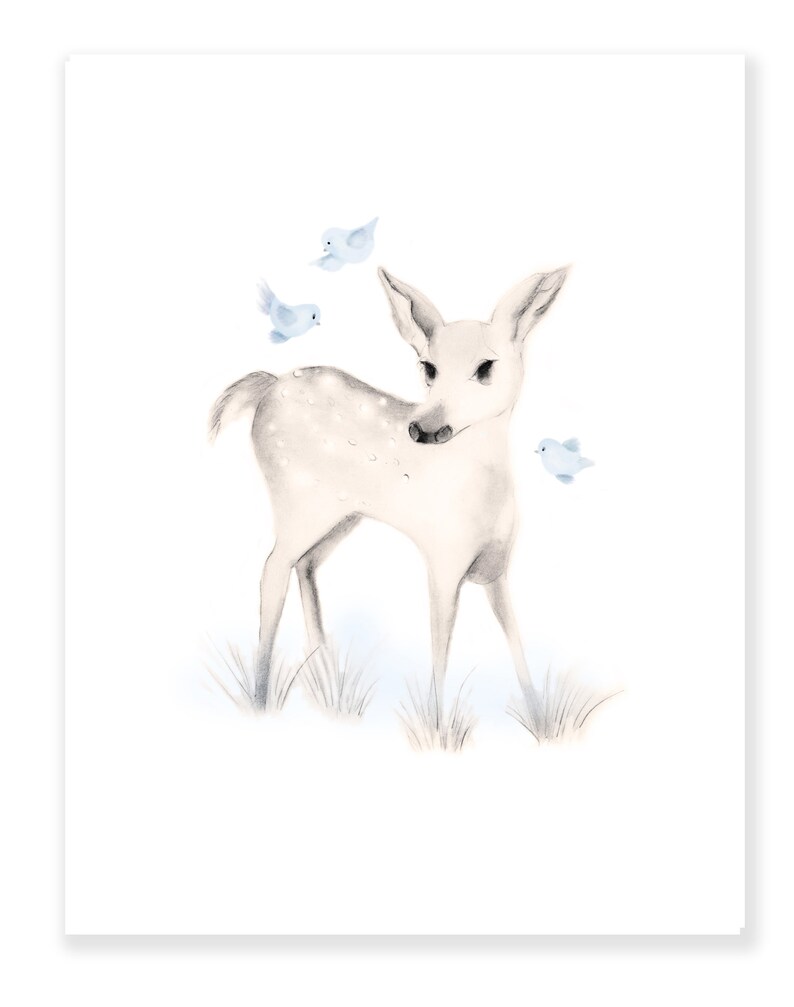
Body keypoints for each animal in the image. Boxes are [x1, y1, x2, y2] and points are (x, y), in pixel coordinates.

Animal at [209, 265, 569, 726]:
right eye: (428, 367)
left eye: (486, 366)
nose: (424, 428)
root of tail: (267, 387)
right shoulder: (442, 561)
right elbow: (440, 647)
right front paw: (438, 727)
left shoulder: (497, 569)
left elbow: (515, 642)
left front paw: (541, 722)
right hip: (295, 498)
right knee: (273, 567)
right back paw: (261, 699)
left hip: (341, 515)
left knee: (305, 565)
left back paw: (327, 681)